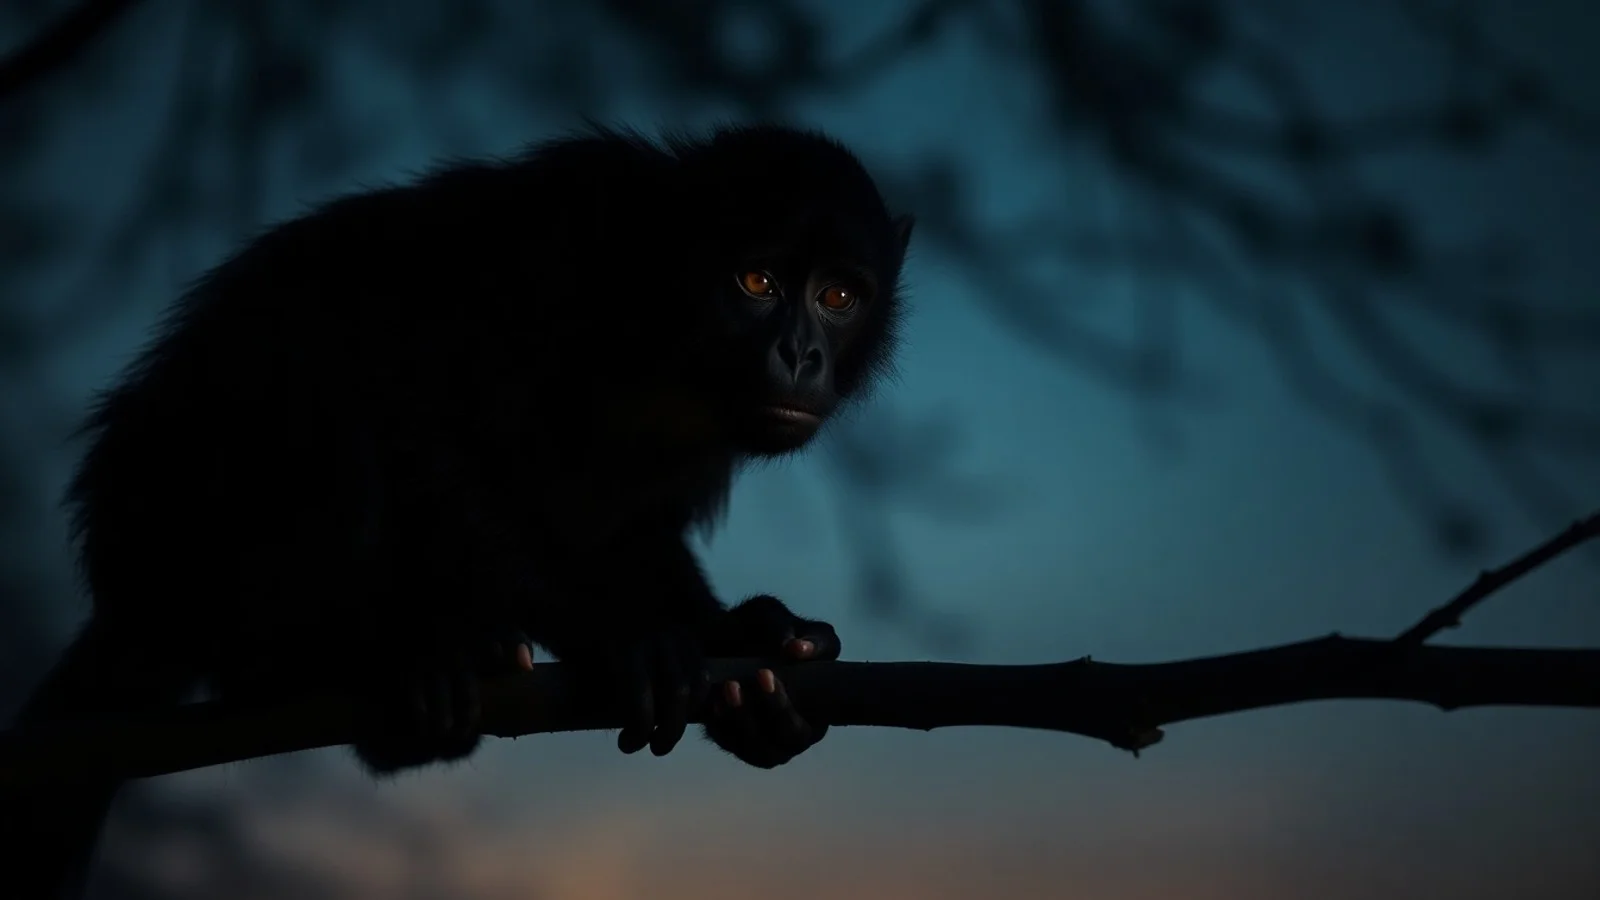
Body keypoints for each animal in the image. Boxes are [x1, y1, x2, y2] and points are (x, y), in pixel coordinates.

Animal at [0, 123, 913, 898]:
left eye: (839, 297)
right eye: (757, 282)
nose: (801, 353)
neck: (664, 329)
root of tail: (128, 594)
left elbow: (626, 529)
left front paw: (739, 648)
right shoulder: (555, 249)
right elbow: (426, 419)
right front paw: (626, 642)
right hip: (180, 531)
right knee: (323, 391)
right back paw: (352, 661)